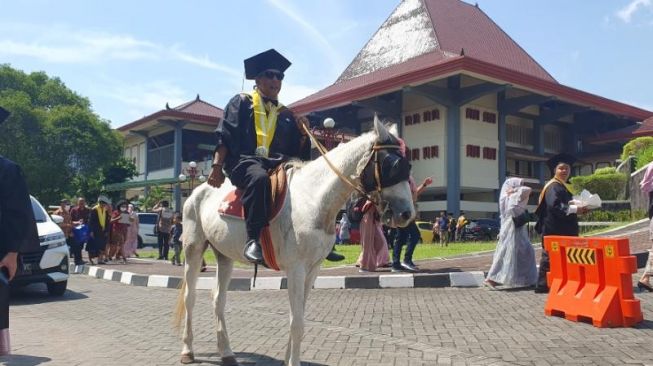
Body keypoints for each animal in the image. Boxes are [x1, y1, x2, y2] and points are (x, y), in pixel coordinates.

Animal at [174, 118, 412, 364]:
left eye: (409, 166)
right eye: (394, 165)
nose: (406, 214)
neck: (313, 199)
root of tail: (195, 193)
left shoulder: (313, 269)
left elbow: (298, 317)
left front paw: (289, 358)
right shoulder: (296, 268)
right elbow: (297, 323)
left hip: (224, 255)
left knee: (218, 298)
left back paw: (226, 352)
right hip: (193, 249)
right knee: (190, 297)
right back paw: (187, 350)